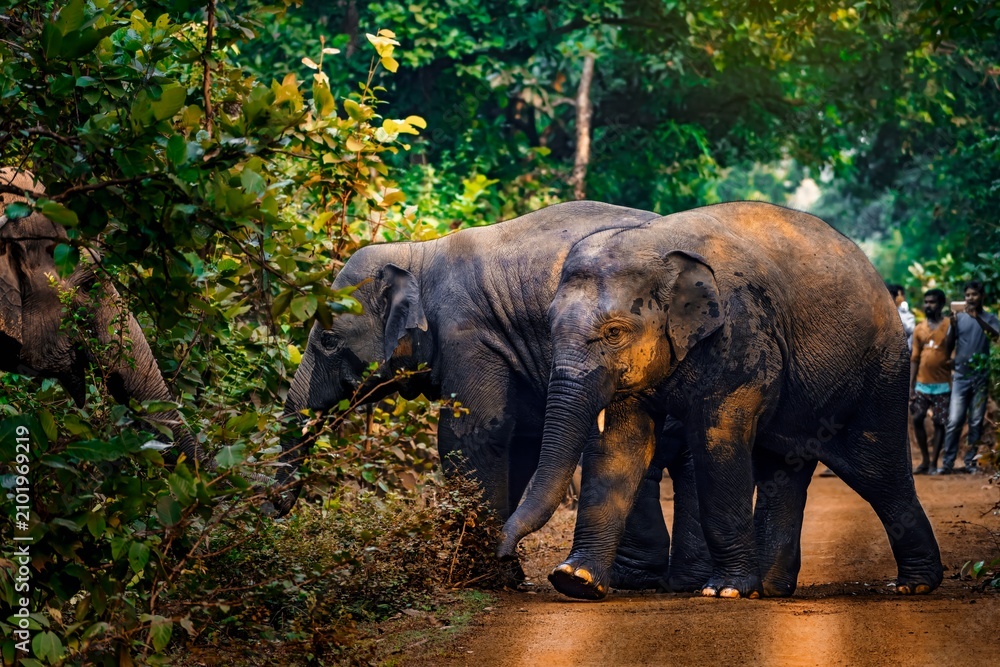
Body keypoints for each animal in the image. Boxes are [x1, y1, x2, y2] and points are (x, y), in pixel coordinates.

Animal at [276, 200, 712, 591]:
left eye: (328, 341)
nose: (274, 515)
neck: (418, 252)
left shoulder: (469, 336)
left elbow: (474, 434)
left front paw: (484, 576)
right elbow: (519, 442)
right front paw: (503, 571)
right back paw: (671, 582)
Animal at [498, 200, 944, 600]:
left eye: (614, 332)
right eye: (548, 326)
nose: (501, 551)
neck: (653, 242)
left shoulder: (742, 333)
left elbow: (718, 441)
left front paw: (725, 591)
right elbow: (620, 448)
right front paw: (575, 581)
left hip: (880, 369)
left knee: (876, 469)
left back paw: (916, 585)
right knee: (783, 469)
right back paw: (773, 589)